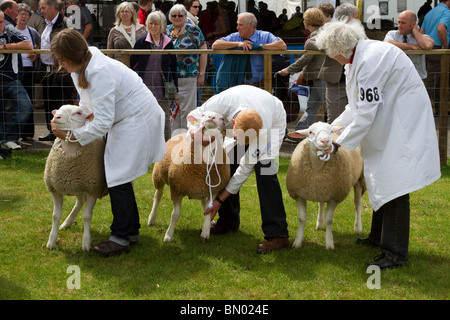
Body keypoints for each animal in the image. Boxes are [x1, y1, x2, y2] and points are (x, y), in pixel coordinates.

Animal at [44, 104, 108, 251]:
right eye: (59, 109)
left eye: (78, 113)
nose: (56, 117)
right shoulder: (55, 190)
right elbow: (55, 216)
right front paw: (51, 241)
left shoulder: (92, 190)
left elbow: (87, 217)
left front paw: (86, 242)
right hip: (77, 187)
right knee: (79, 202)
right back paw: (66, 223)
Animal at [149, 110, 230, 242]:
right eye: (203, 115)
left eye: (222, 118)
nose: (211, 117)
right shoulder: (176, 190)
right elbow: (175, 214)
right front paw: (168, 235)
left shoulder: (214, 190)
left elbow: (209, 210)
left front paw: (206, 232)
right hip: (158, 175)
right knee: (158, 196)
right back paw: (152, 219)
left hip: (203, 188)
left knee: (204, 205)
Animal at [284, 121, 366, 249]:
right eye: (311, 132)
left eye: (331, 131)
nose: (325, 141)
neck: (317, 167)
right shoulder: (299, 195)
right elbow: (302, 219)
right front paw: (297, 242)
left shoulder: (334, 197)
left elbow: (329, 220)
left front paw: (329, 243)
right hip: (323, 189)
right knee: (321, 204)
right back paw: (319, 224)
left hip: (359, 178)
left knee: (357, 203)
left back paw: (357, 227)